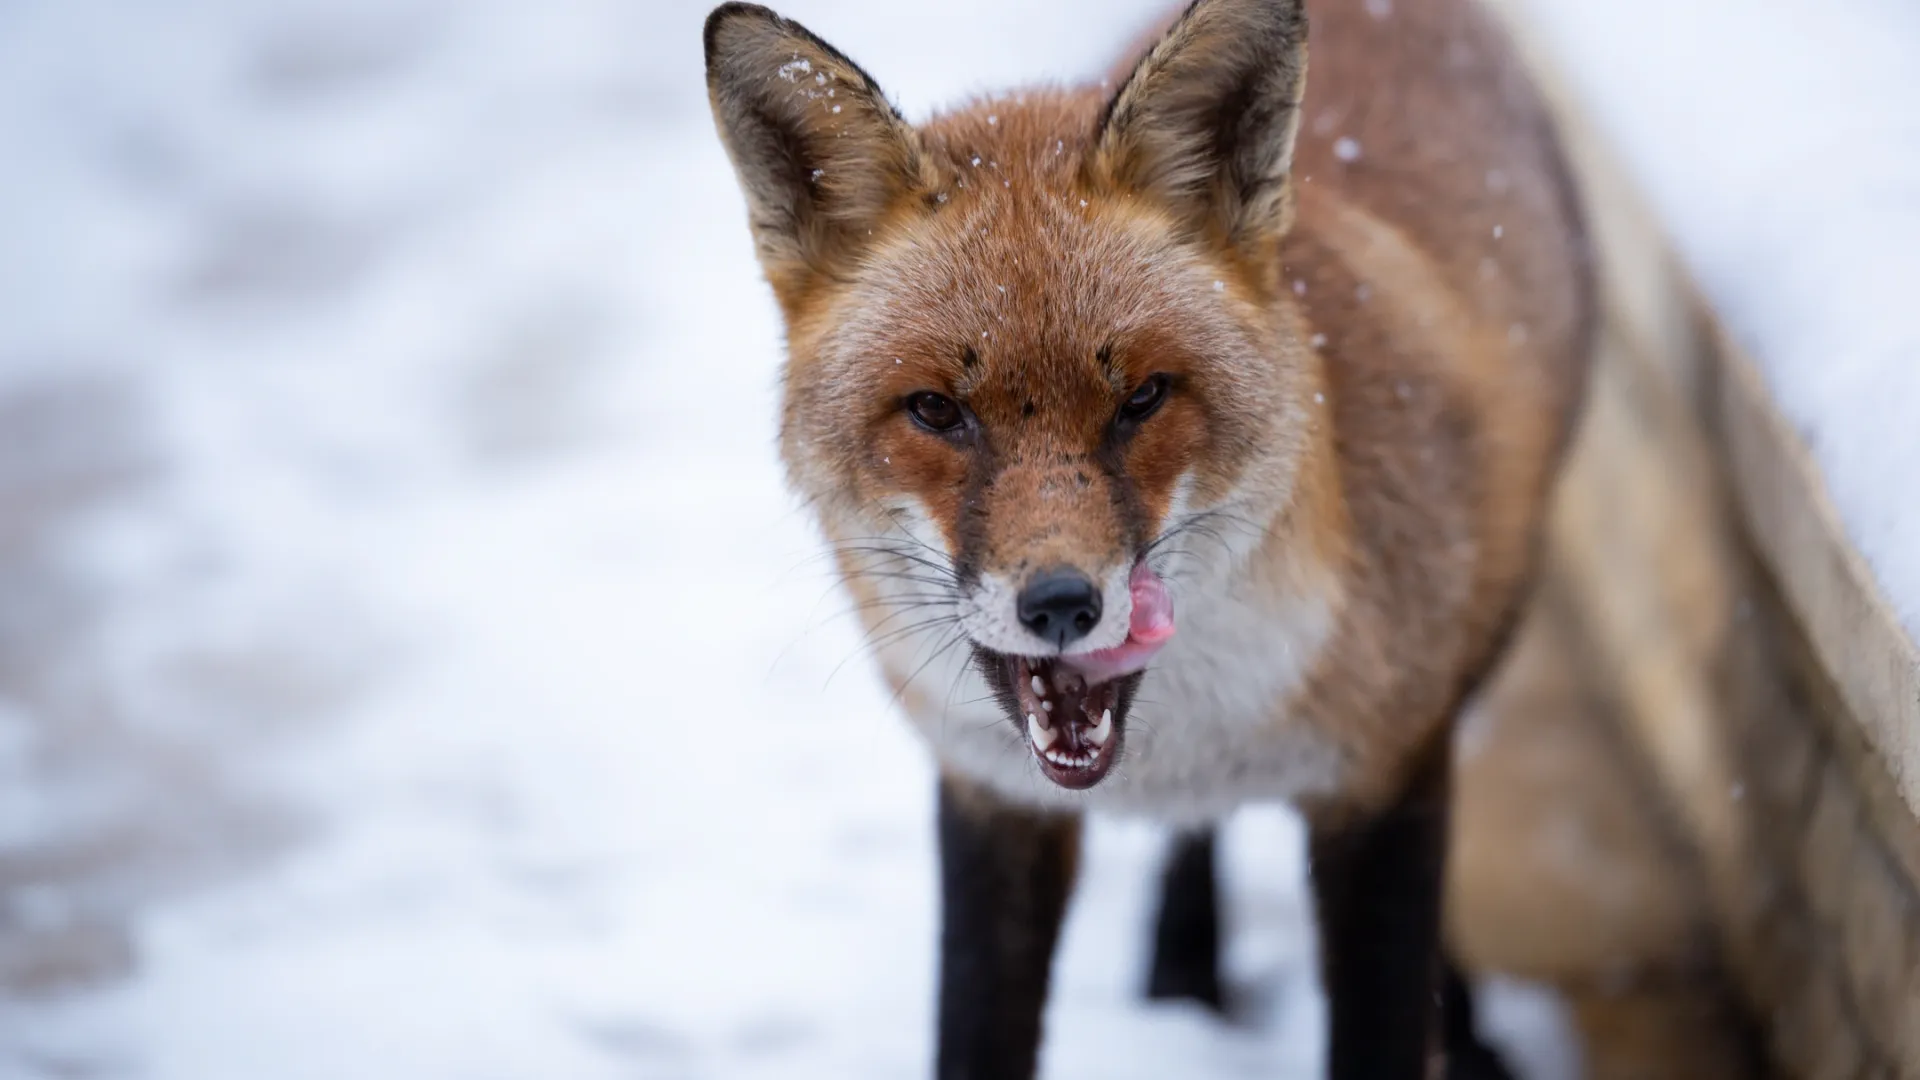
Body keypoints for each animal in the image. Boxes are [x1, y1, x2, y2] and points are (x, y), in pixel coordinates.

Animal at [706, 0, 1589, 1068]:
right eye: (934, 411)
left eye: (1142, 399)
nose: (1060, 605)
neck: (1190, 744)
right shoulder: (992, 799)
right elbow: (975, 1027)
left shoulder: (1387, 782)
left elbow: (1387, 1013)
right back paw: (1183, 968)